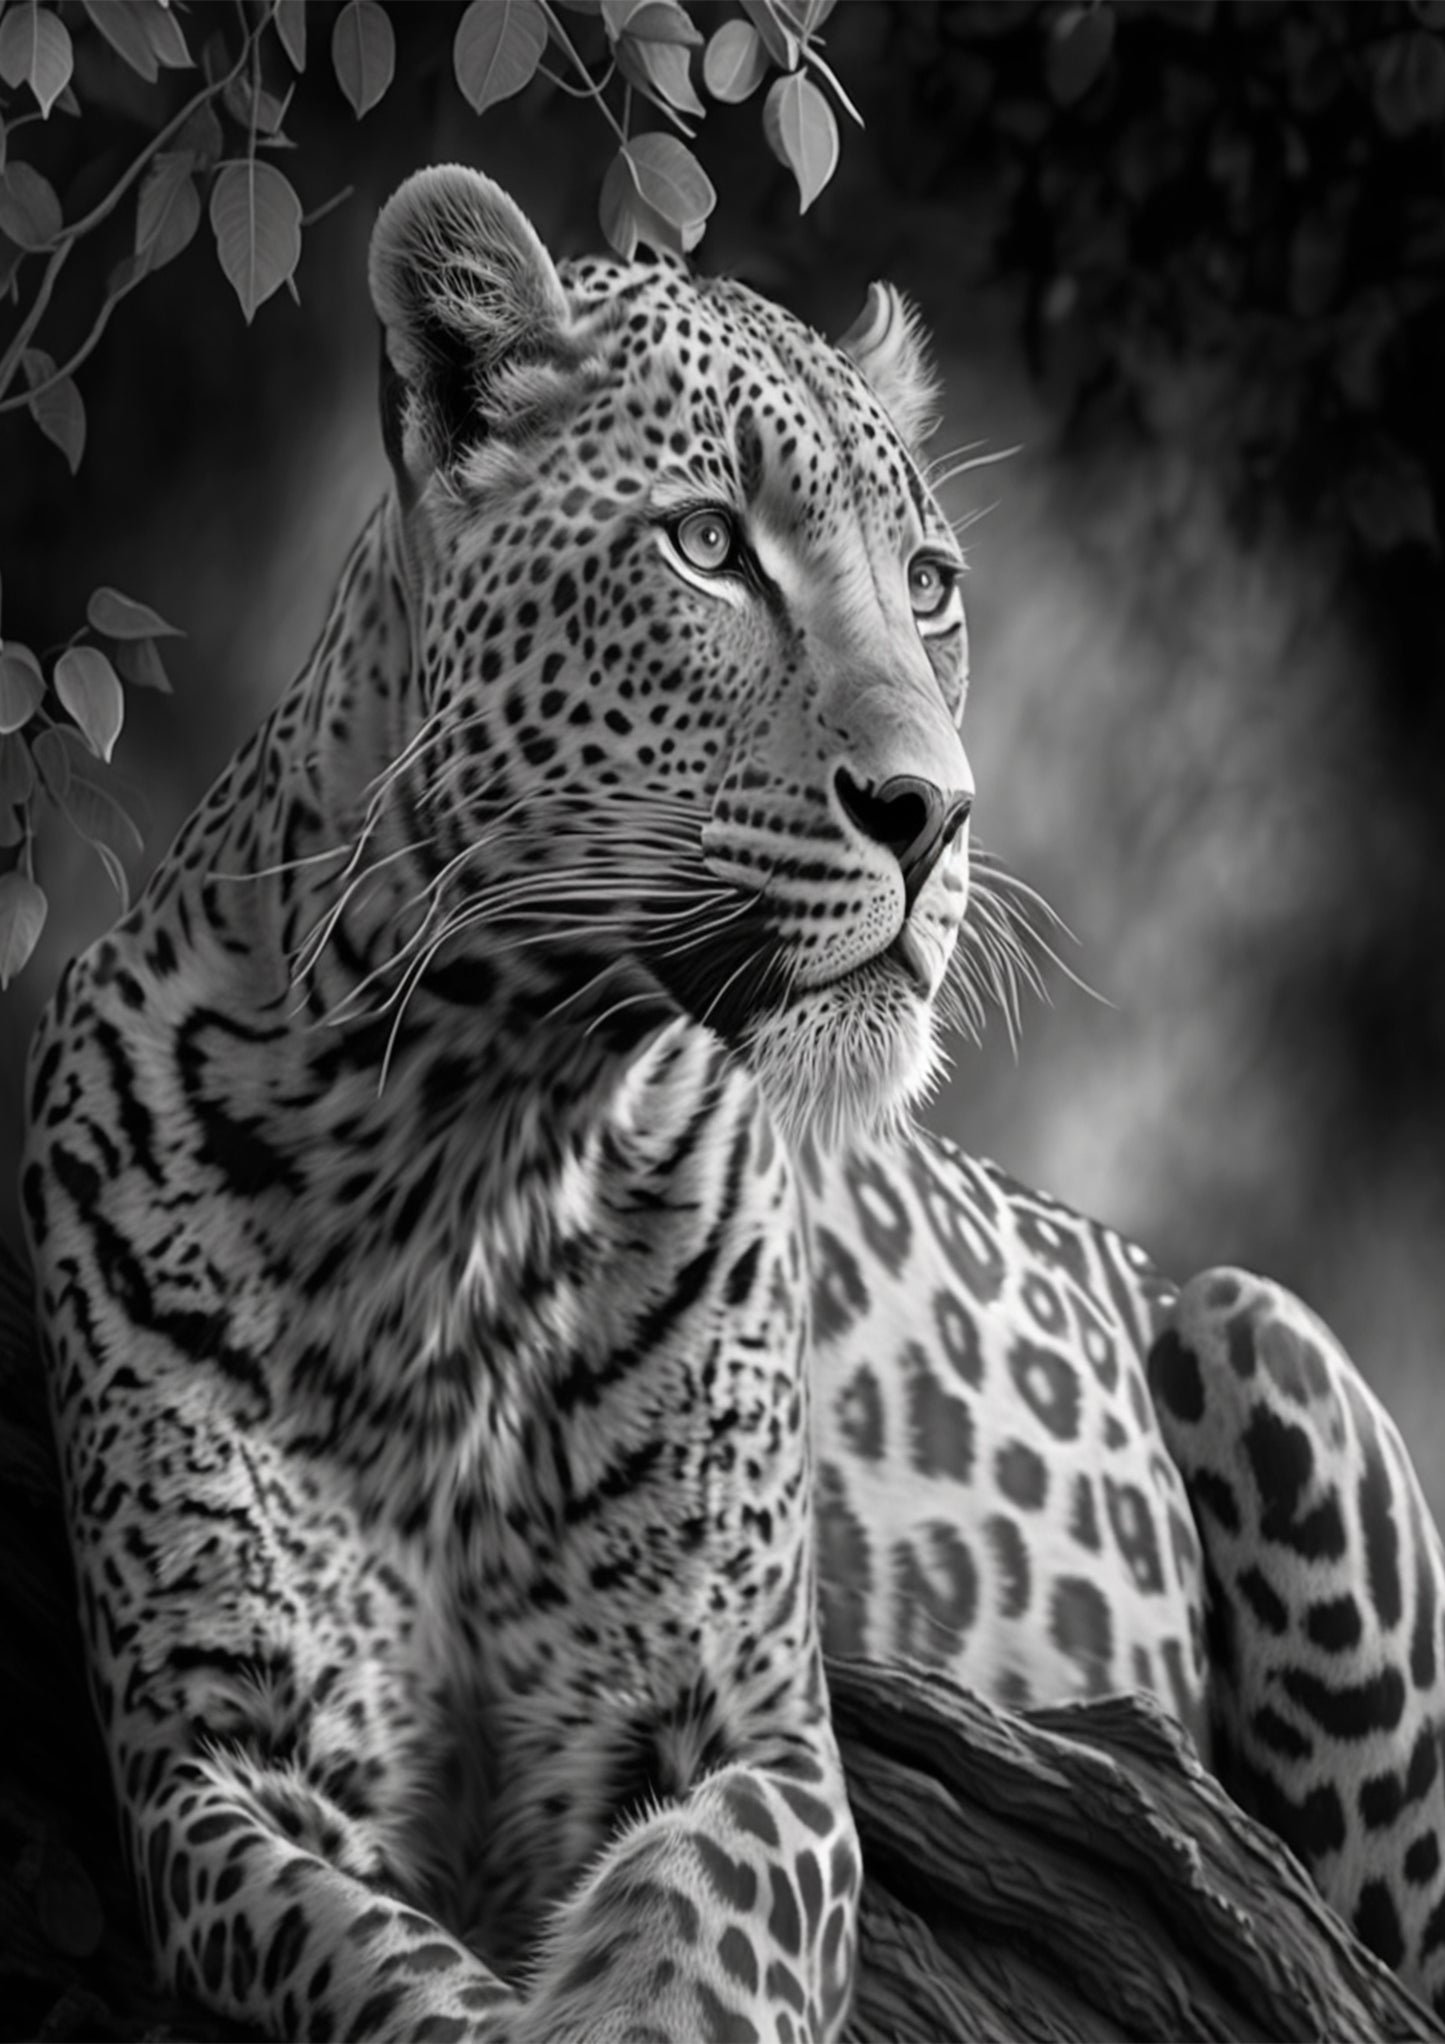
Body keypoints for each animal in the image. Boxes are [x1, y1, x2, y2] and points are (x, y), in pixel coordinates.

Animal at [18, 162, 1445, 2039]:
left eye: (930, 584)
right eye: (707, 546)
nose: (935, 812)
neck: (462, 1145)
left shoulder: (751, 1739)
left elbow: (687, 1961)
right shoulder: (213, 1768)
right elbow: (402, 1983)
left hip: (1260, 1337)